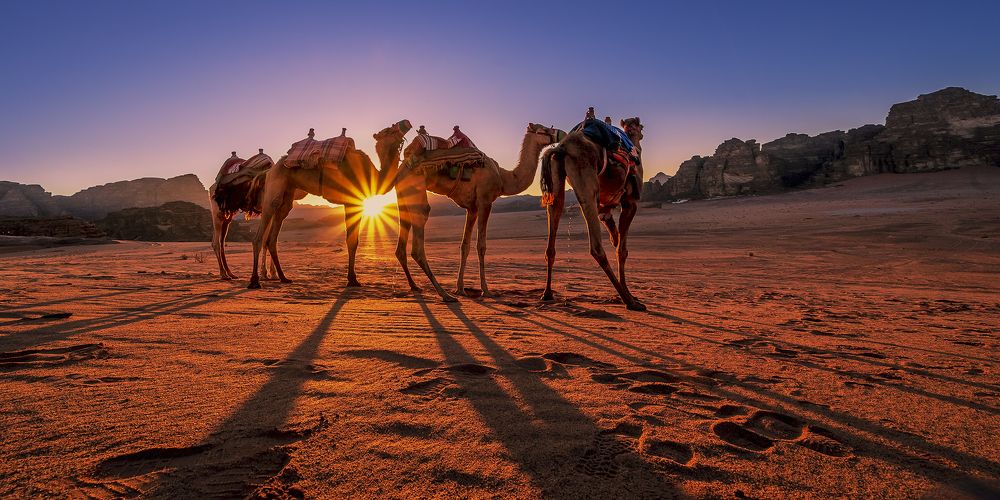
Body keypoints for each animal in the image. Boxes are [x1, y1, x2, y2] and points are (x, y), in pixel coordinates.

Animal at [247, 123, 407, 289]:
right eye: (389, 130)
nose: (405, 124)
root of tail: (268, 171)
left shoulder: (354, 202)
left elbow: (353, 241)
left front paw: (352, 279)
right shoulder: (352, 201)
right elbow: (352, 241)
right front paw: (352, 279)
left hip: (287, 194)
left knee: (273, 236)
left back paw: (283, 277)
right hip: (274, 188)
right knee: (260, 234)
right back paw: (254, 281)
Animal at [373, 122, 565, 301]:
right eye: (544, 130)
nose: (562, 134)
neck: (504, 178)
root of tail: (400, 169)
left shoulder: (472, 208)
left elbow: (464, 245)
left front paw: (461, 288)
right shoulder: (485, 201)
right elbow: (481, 245)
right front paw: (486, 290)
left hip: (402, 197)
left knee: (401, 246)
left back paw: (415, 286)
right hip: (416, 189)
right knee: (418, 244)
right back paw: (444, 294)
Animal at [539, 115, 647, 311]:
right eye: (640, 126)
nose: (641, 133)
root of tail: (561, 148)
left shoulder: (604, 207)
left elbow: (613, 232)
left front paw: (614, 238)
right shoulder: (631, 202)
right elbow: (621, 251)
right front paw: (629, 293)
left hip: (556, 186)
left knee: (551, 244)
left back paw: (547, 293)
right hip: (587, 185)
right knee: (596, 248)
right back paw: (629, 301)